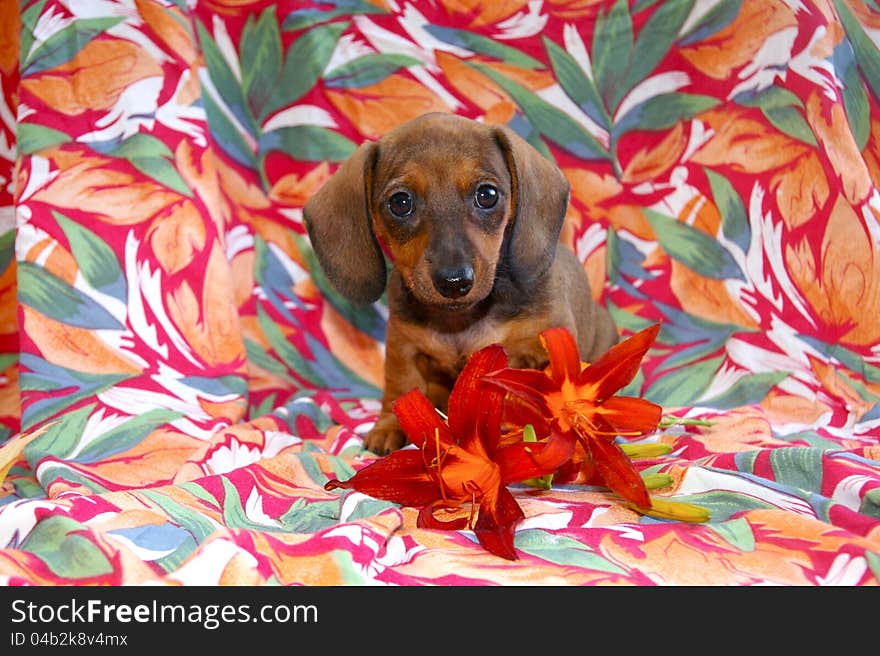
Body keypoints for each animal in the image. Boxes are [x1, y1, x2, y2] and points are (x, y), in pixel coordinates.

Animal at [302, 113, 620, 454]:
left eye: (487, 195)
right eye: (400, 202)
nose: (454, 282)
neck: (459, 321)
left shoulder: (544, 344)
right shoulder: (403, 345)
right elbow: (401, 384)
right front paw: (390, 425)